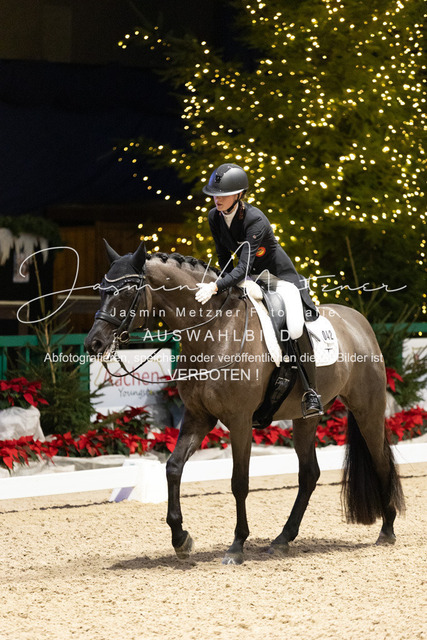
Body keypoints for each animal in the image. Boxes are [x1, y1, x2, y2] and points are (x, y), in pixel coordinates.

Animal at [85, 242, 405, 565]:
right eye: (101, 290)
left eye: (125, 292)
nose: (93, 344)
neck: (214, 330)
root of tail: (359, 321)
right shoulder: (198, 417)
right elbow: (173, 468)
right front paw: (181, 539)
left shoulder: (239, 421)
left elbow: (239, 482)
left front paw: (236, 546)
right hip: (306, 418)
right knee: (309, 474)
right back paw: (282, 539)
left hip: (368, 409)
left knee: (380, 461)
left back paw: (387, 531)